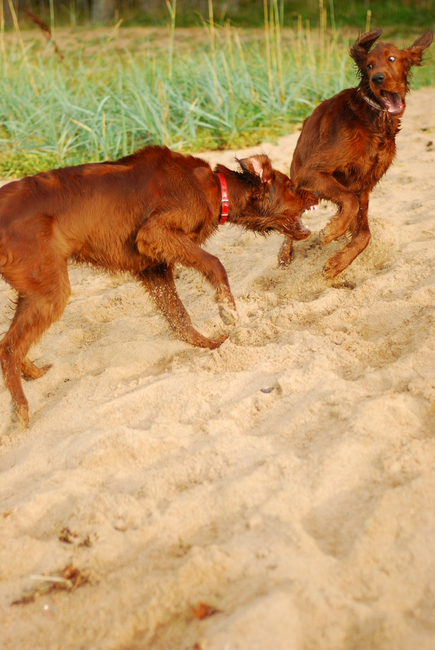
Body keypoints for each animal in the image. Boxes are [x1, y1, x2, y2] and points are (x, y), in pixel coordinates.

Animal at [0, 145, 316, 428]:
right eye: (290, 186)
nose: (314, 193)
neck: (213, 187)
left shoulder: (154, 267)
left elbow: (179, 318)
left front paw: (212, 345)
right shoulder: (155, 233)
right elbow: (215, 264)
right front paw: (227, 312)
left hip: (36, 288)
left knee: (7, 344)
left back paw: (33, 374)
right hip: (51, 290)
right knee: (9, 347)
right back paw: (21, 411)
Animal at [280, 29, 432, 278]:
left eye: (391, 59)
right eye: (369, 65)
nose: (377, 78)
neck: (374, 120)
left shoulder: (363, 188)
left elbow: (364, 234)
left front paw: (336, 264)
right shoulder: (312, 172)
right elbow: (349, 202)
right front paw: (332, 231)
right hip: (299, 178)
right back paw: (284, 256)